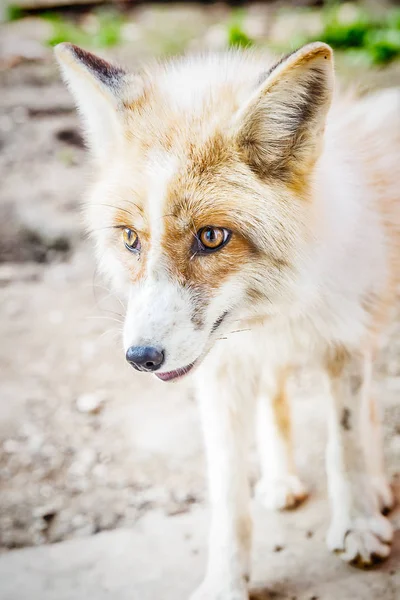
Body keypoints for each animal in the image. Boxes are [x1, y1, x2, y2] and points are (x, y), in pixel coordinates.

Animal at [54, 39, 398, 596]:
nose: (141, 357)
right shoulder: (222, 373)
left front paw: (359, 526)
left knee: (364, 409)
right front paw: (225, 580)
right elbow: (228, 495)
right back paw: (281, 481)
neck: (276, 315)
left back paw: (379, 490)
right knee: (275, 400)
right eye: (130, 238)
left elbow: (345, 446)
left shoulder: (345, 345)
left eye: (211, 237)